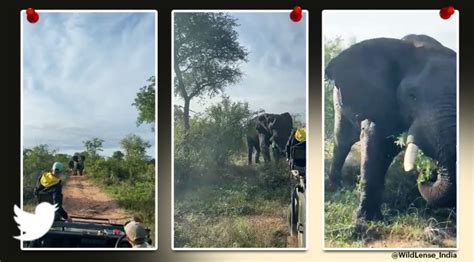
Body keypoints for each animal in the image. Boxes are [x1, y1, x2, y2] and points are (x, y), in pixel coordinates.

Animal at [326, 35, 456, 221]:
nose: (425, 178)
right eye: (412, 96)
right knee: (342, 142)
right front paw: (365, 220)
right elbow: (374, 146)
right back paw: (337, 187)